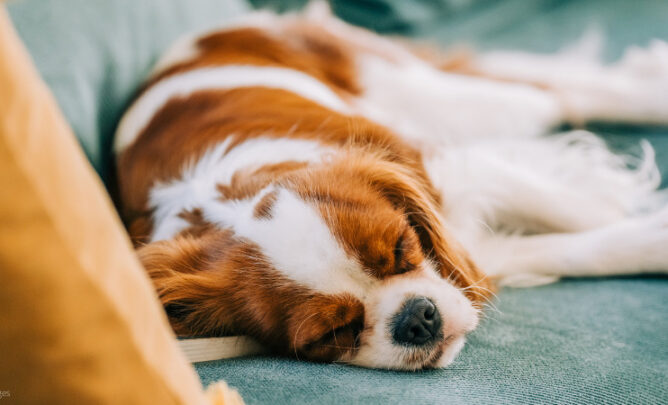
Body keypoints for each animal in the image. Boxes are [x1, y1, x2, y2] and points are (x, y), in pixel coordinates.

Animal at [115, 3, 668, 370]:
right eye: (333, 333)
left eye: (404, 248)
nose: (417, 319)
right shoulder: (470, 249)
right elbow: (571, 246)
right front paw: (643, 238)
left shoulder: (446, 167)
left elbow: (576, 210)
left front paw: (629, 212)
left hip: (432, 96)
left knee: (557, 94)